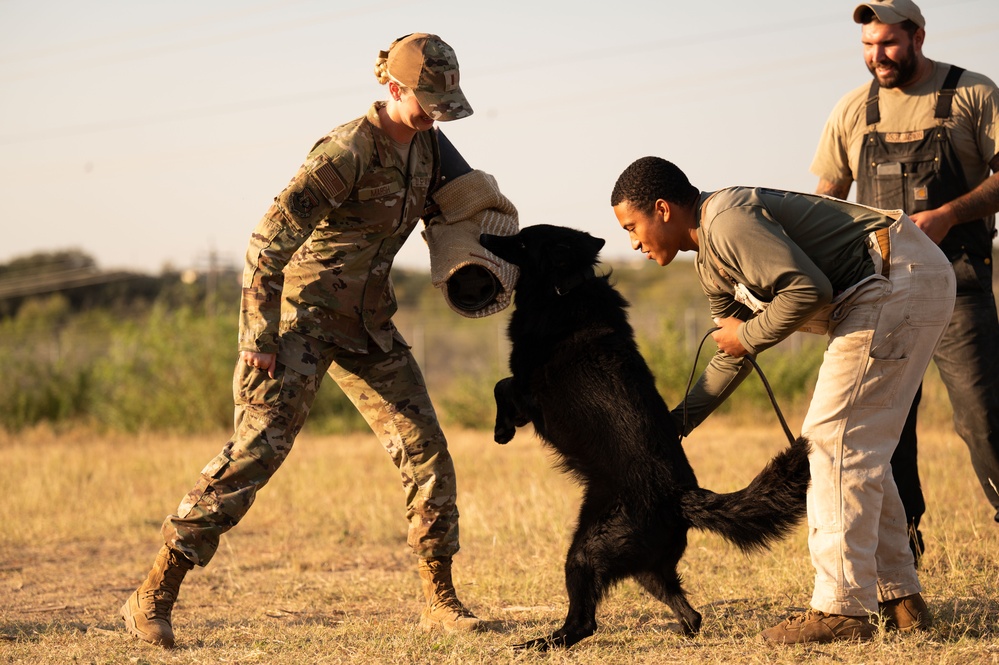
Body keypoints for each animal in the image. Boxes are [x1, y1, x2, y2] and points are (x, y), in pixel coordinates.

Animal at [480, 226, 816, 652]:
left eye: (523, 239)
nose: (484, 234)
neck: (565, 288)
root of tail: (682, 496)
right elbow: (501, 385)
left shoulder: (529, 390)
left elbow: (501, 385)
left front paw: (502, 430)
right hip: (646, 567)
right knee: (691, 613)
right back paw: (682, 635)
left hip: (587, 551)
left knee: (584, 622)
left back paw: (542, 644)